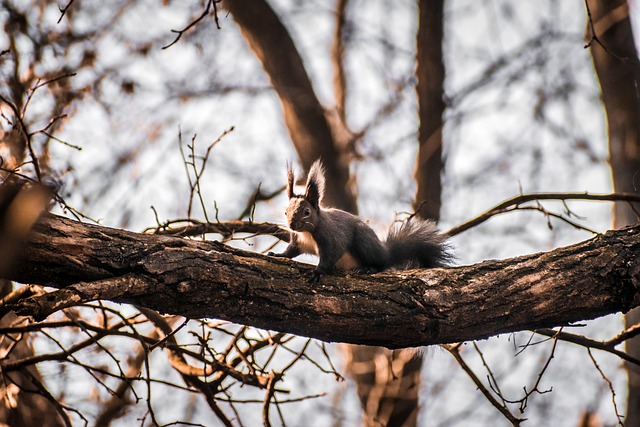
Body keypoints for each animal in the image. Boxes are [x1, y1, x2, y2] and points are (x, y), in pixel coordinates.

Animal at [270, 160, 450, 284]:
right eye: (285, 211)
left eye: (307, 212)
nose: (292, 225)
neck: (307, 233)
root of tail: (386, 252)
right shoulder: (298, 241)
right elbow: (290, 251)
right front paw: (278, 254)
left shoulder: (331, 238)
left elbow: (330, 256)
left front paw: (318, 273)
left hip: (364, 243)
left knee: (382, 264)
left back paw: (369, 268)